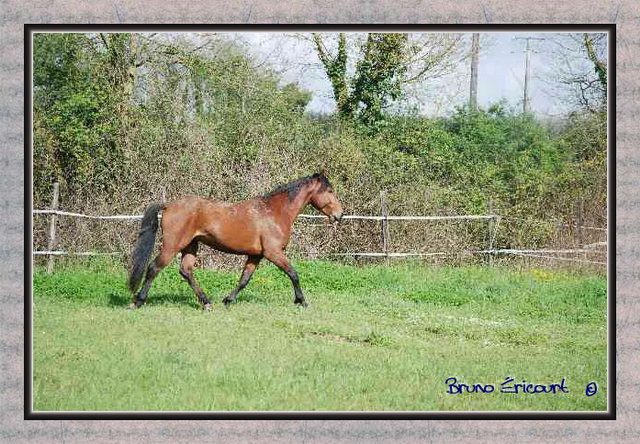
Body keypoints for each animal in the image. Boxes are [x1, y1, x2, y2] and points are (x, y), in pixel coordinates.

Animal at [127, 172, 342, 310]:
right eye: (330, 191)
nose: (340, 214)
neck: (274, 212)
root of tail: (169, 205)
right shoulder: (273, 253)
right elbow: (293, 274)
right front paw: (302, 301)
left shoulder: (255, 256)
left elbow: (244, 280)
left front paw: (227, 300)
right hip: (172, 245)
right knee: (154, 268)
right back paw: (137, 302)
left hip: (190, 246)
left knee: (186, 271)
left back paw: (207, 303)